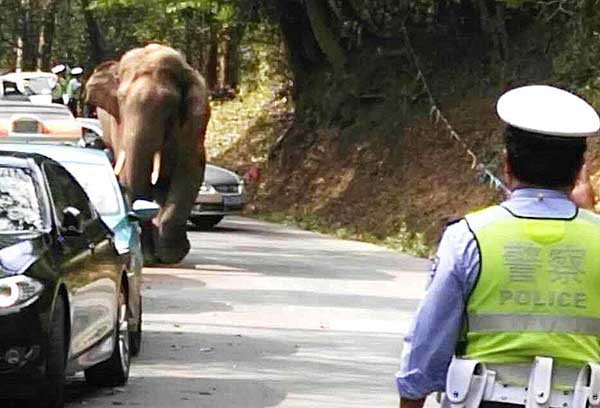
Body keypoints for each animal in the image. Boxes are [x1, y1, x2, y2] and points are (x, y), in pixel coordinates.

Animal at [85, 43, 211, 262]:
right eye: (121, 100)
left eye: (169, 106)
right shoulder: (119, 125)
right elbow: (129, 174)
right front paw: (150, 256)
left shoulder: (195, 123)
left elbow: (188, 171)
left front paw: (171, 255)